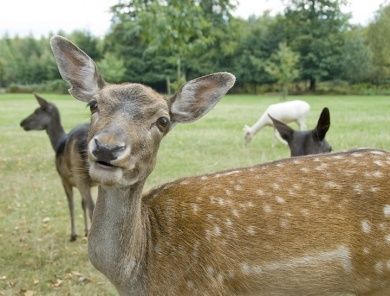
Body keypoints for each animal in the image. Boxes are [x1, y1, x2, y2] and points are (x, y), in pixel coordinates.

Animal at [20, 94, 94, 240]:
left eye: (37, 111)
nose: (22, 122)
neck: (57, 143)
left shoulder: (64, 179)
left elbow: (71, 204)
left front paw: (73, 235)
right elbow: (82, 204)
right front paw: (85, 231)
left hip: (79, 174)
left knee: (92, 207)